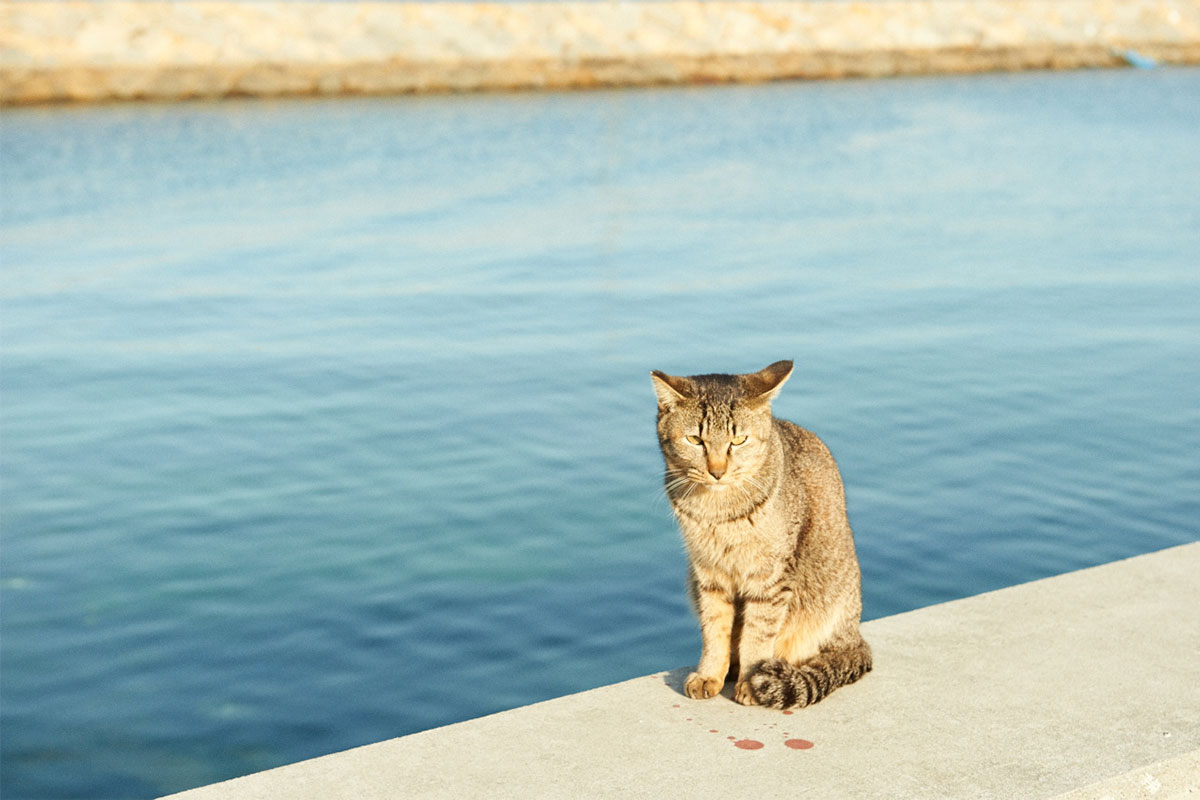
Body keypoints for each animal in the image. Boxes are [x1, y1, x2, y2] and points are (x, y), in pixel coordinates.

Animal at [657, 362, 873, 705]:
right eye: (695, 440)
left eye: (739, 440)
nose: (717, 472)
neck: (718, 511)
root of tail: (854, 636)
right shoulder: (708, 574)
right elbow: (714, 629)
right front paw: (709, 673)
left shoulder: (769, 578)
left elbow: (757, 636)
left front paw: (750, 681)